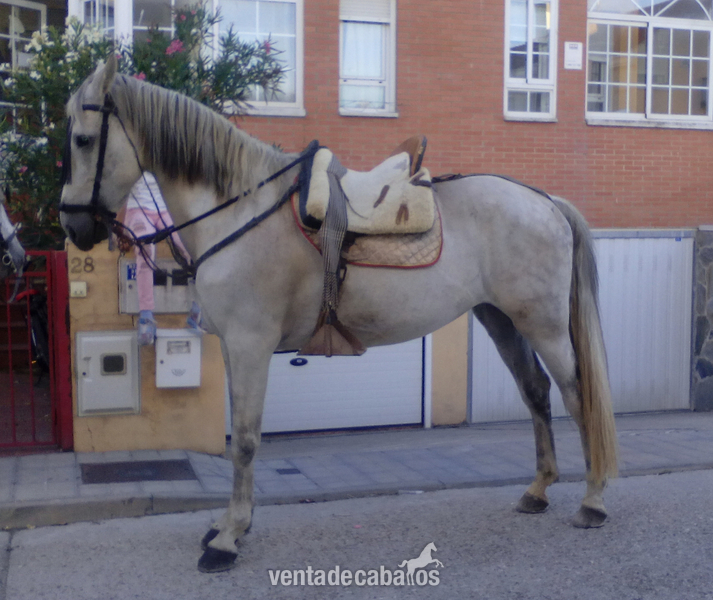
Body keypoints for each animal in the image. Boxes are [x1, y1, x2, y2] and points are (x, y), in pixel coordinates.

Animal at [60, 56, 618, 573]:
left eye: (84, 139)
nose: (73, 225)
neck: (240, 209)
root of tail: (544, 200)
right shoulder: (234, 348)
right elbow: (240, 434)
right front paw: (229, 525)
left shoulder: (250, 343)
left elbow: (245, 440)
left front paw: (228, 537)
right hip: (501, 319)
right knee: (535, 392)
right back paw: (538, 491)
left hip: (544, 325)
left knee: (576, 395)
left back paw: (592, 500)